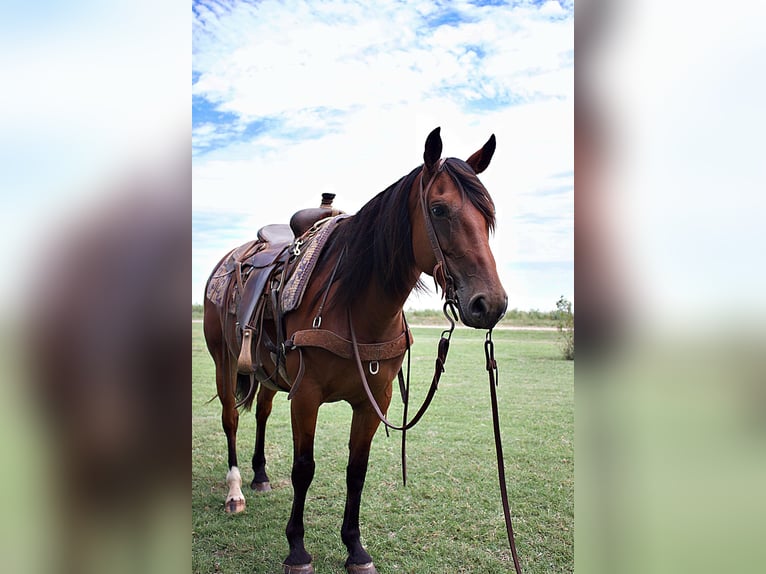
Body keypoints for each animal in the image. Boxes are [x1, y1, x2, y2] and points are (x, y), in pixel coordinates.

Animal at [202, 128, 510, 572]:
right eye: (438, 209)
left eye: (488, 216)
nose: (492, 304)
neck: (352, 303)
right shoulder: (307, 395)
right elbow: (304, 468)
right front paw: (297, 549)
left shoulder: (374, 398)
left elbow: (357, 470)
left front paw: (355, 548)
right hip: (224, 362)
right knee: (230, 419)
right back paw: (236, 490)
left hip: (268, 374)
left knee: (260, 412)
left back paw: (260, 476)